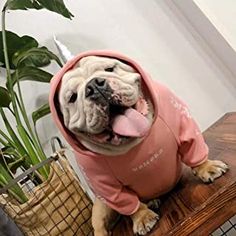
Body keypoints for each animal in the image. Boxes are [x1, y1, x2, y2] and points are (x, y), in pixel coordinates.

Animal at [49, 51, 229, 236]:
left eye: (109, 69)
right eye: (72, 97)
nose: (94, 86)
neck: (133, 141)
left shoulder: (183, 125)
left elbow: (194, 149)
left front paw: (206, 166)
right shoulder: (107, 187)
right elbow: (128, 203)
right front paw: (142, 216)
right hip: (102, 206)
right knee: (100, 225)